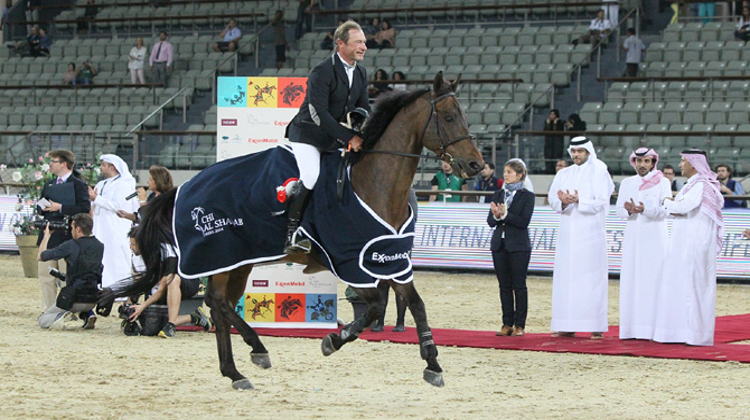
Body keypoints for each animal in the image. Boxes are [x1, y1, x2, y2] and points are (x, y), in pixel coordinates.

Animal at [114, 72, 484, 390]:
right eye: (449, 117)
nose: (477, 165)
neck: (373, 182)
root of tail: (186, 185)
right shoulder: (351, 261)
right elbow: (376, 307)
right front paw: (332, 341)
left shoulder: (389, 258)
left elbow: (416, 304)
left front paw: (433, 365)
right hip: (220, 255)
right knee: (217, 302)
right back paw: (243, 364)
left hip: (239, 261)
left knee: (220, 304)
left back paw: (244, 361)